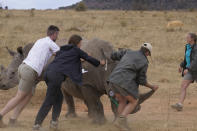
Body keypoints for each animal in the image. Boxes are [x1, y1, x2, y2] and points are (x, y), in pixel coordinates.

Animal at [0, 38, 155, 124]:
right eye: (12, 73)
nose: (3, 85)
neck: (109, 68)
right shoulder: (87, 84)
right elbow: (96, 102)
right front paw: (100, 123)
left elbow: (104, 102)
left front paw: (115, 120)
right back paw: (72, 117)